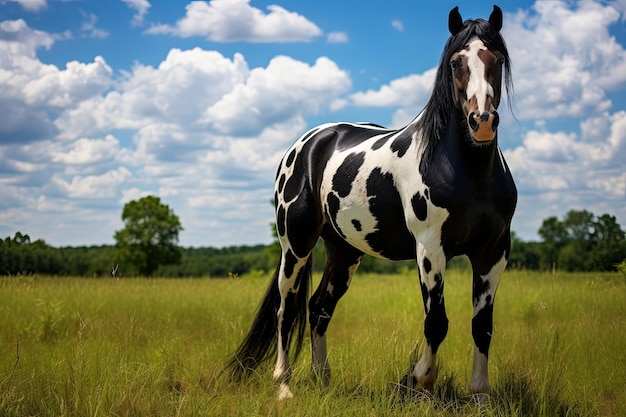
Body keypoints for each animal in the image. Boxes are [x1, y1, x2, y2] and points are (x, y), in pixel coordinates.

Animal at [227, 4, 516, 400]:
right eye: (457, 62)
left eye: (497, 59)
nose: (482, 121)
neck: (469, 174)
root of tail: (308, 143)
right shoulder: (430, 248)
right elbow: (436, 322)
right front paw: (419, 381)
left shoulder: (493, 251)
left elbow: (482, 325)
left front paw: (480, 395)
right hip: (295, 245)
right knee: (286, 309)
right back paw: (283, 386)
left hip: (344, 251)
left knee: (319, 308)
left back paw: (322, 380)